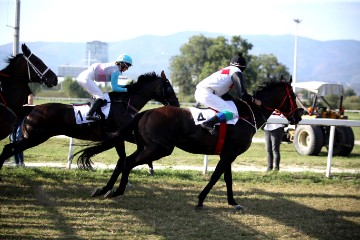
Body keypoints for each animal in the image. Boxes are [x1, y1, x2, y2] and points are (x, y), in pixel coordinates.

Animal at [0, 70, 179, 173]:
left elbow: (125, 154)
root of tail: (32, 108)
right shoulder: (123, 135)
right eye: (170, 87)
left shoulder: (119, 137)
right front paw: (149, 166)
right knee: (10, 149)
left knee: (9, 149)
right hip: (34, 137)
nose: (176, 104)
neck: (125, 104)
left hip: (32, 137)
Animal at [76, 77, 304, 210]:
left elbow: (227, 179)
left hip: (147, 146)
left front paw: (232, 202)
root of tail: (146, 112)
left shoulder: (228, 153)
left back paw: (106, 189)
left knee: (125, 160)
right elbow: (216, 177)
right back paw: (116, 191)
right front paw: (201, 199)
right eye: (293, 95)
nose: (300, 115)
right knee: (128, 162)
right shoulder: (230, 153)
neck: (248, 113)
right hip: (159, 148)